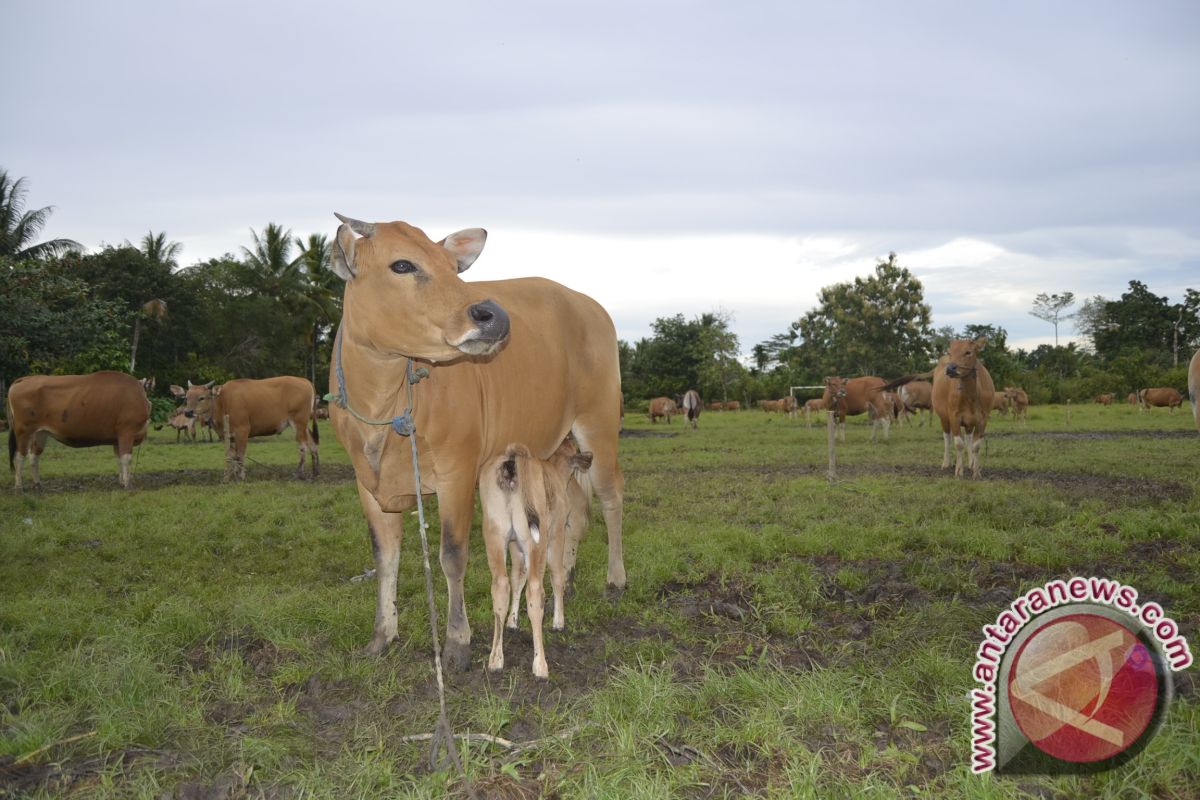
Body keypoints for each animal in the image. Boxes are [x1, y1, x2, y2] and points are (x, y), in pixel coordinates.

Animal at [5, 369, 151, 489]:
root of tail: (24, 379)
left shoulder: (117, 438)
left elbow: (119, 459)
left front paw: (121, 482)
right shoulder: (127, 432)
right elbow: (126, 459)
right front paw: (127, 484)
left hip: (40, 433)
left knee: (34, 457)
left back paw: (37, 484)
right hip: (23, 431)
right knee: (19, 457)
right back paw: (19, 486)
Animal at [172, 376, 319, 482]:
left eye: (201, 398)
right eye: (186, 398)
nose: (188, 412)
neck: (223, 402)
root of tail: (304, 380)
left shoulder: (242, 431)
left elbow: (240, 455)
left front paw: (241, 476)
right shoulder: (227, 435)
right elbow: (231, 455)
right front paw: (230, 476)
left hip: (298, 422)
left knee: (303, 446)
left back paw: (299, 474)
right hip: (304, 424)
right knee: (312, 443)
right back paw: (315, 472)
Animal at [326, 214, 628, 671]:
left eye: (454, 268)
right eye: (402, 265)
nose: (493, 315)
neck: (384, 408)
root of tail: (588, 304)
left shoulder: (457, 471)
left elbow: (452, 555)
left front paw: (457, 641)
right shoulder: (366, 483)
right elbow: (384, 557)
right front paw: (382, 635)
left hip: (600, 423)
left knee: (611, 499)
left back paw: (615, 579)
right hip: (562, 453)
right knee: (574, 515)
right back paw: (570, 581)